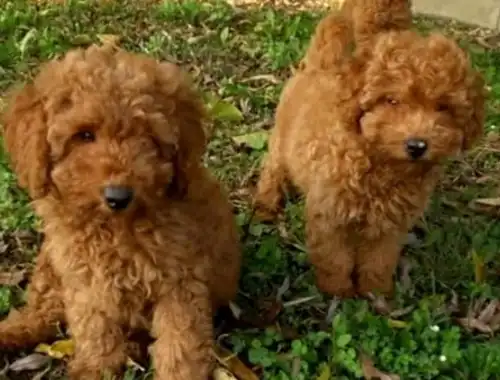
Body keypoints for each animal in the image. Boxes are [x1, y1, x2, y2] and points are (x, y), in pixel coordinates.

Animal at [0, 43, 242, 380]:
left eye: (147, 138)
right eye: (84, 135)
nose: (118, 196)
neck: (115, 227)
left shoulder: (180, 282)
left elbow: (179, 341)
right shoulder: (83, 278)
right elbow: (94, 327)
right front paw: (95, 368)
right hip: (51, 263)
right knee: (43, 311)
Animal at [254, 0, 484, 296]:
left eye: (443, 107)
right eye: (392, 100)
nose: (417, 145)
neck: (378, 160)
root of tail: (321, 64)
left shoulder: (389, 225)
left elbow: (378, 260)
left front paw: (376, 292)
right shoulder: (330, 216)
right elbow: (334, 258)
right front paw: (338, 291)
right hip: (281, 141)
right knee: (273, 169)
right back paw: (265, 205)